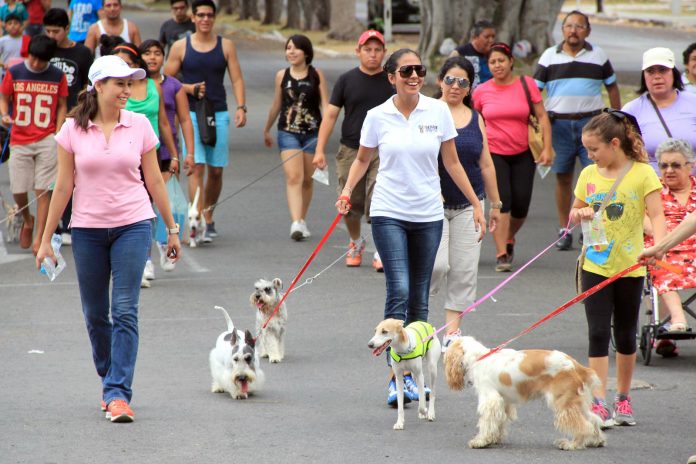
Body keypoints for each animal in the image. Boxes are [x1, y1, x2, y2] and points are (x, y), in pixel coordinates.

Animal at [446, 336, 604, 452]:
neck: (479, 357)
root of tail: (576, 365)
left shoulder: (490, 400)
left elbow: (487, 422)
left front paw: (481, 441)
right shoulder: (503, 401)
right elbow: (500, 420)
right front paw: (495, 438)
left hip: (563, 403)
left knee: (583, 425)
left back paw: (572, 444)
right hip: (576, 402)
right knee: (593, 419)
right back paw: (597, 440)